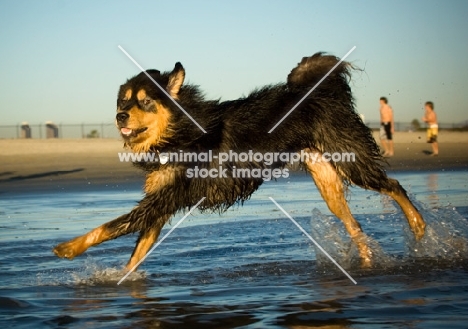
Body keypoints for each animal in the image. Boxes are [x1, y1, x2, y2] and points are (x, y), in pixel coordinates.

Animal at [53, 53, 426, 270]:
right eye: (123, 100)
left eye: (144, 101)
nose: (119, 116)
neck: (182, 131)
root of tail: (323, 90)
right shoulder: (162, 201)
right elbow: (135, 255)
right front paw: (122, 281)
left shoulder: (165, 198)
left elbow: (112, 225)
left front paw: (69, 248)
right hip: (326, 179)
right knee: (354, 223)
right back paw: (367, 260)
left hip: (352, 162)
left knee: (394, 185)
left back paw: (418, 226)